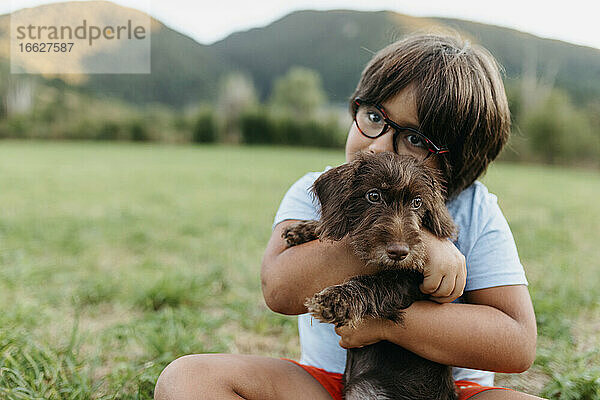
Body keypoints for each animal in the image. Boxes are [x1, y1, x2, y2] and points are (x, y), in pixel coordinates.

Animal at [284, 152, 458, 400]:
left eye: (417, 202)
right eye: (373, 196)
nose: (399, 253)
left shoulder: (410, 282)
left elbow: (375, 283)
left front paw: (337, 300)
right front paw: (304, 229)